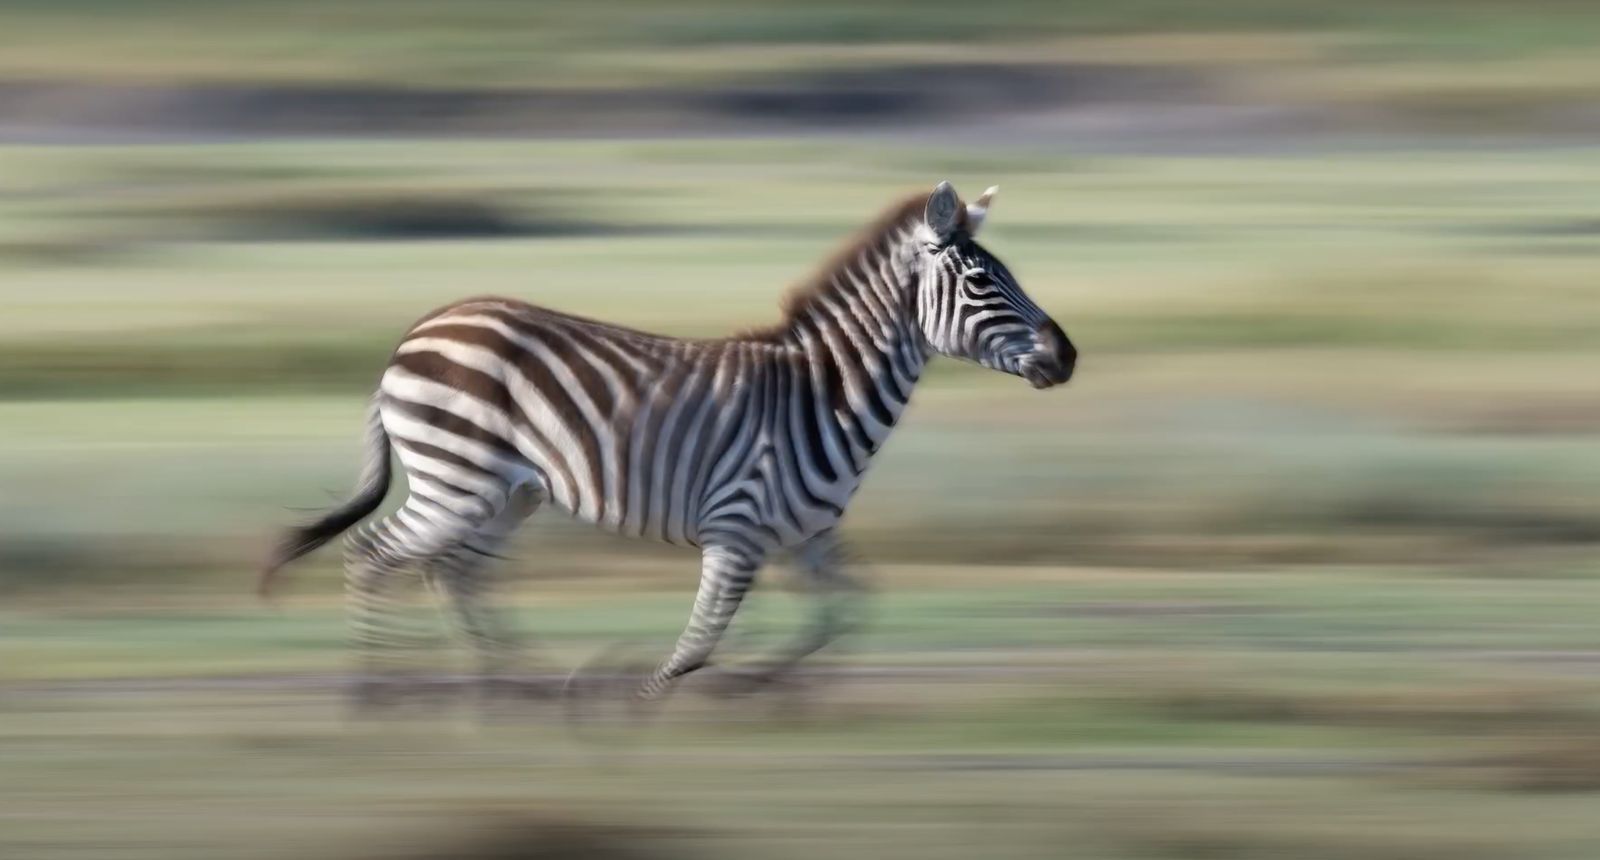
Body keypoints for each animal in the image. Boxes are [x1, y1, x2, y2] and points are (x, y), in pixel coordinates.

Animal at [259, 180, 1075, 703]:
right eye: (981, 283)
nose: (1066, 356)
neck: (826, 393)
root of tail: (412, 335)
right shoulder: (738, 527)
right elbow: (701, 641)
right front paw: (633, 698)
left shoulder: (806, 534)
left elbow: (844, 613)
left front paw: (761, 685)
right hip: (456, 479)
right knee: (374, 556)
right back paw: (379, 697)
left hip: (502, 493)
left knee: (455, 574)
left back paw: (512, 688)